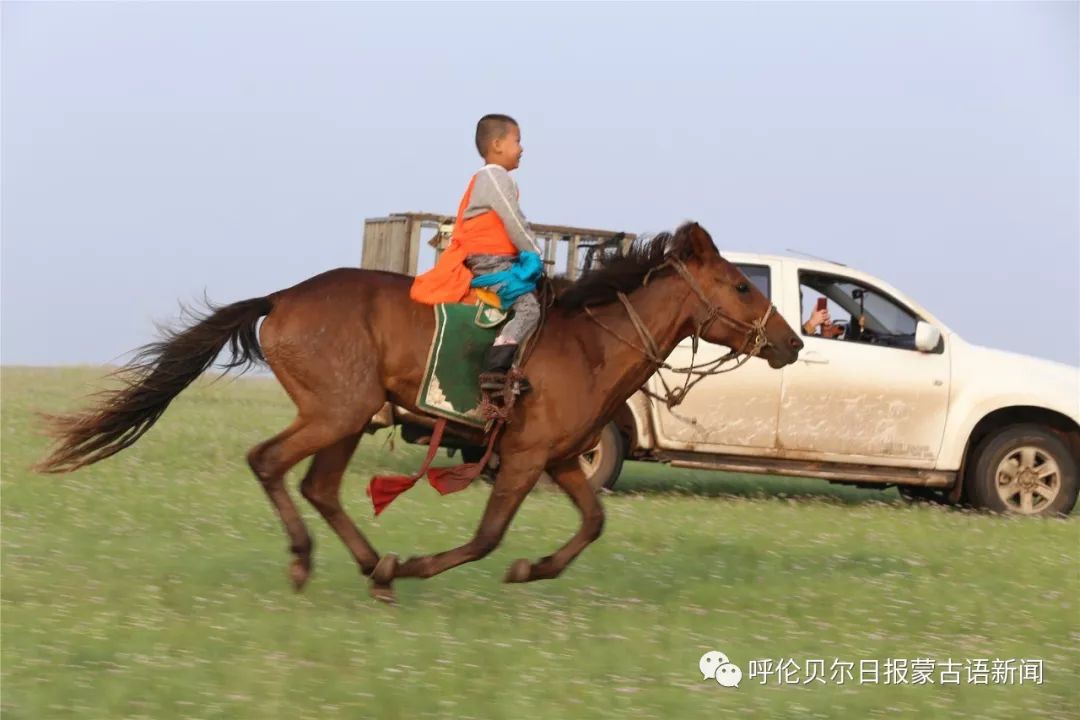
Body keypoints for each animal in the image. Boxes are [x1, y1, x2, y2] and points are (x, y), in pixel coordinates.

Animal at [33, 221, 803, 604]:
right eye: (742, 286)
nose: (792, 342)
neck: (589, 342)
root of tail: (283, 297)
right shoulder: (523, 459)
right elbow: (488, 537)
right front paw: (423, 567)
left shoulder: (559, 459)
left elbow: (592, 524)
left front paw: (533, 569)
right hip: (337, 411)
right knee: (270, 462)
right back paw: (316, 563)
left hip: (349, 416)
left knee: (317, 485)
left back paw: (368, 566)